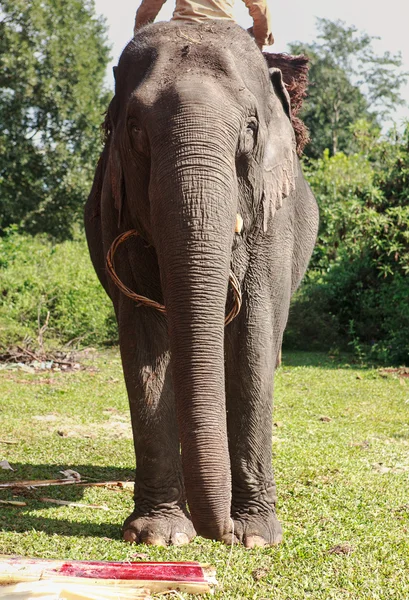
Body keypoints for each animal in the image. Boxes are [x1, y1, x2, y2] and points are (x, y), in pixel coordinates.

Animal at [83, 19, 318, 548]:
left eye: (250, 129)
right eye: (134, 130)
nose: (222, 534)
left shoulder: (271, 220)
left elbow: (252, 340)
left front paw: (256, 536)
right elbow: (146, 345)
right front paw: (160, 536)